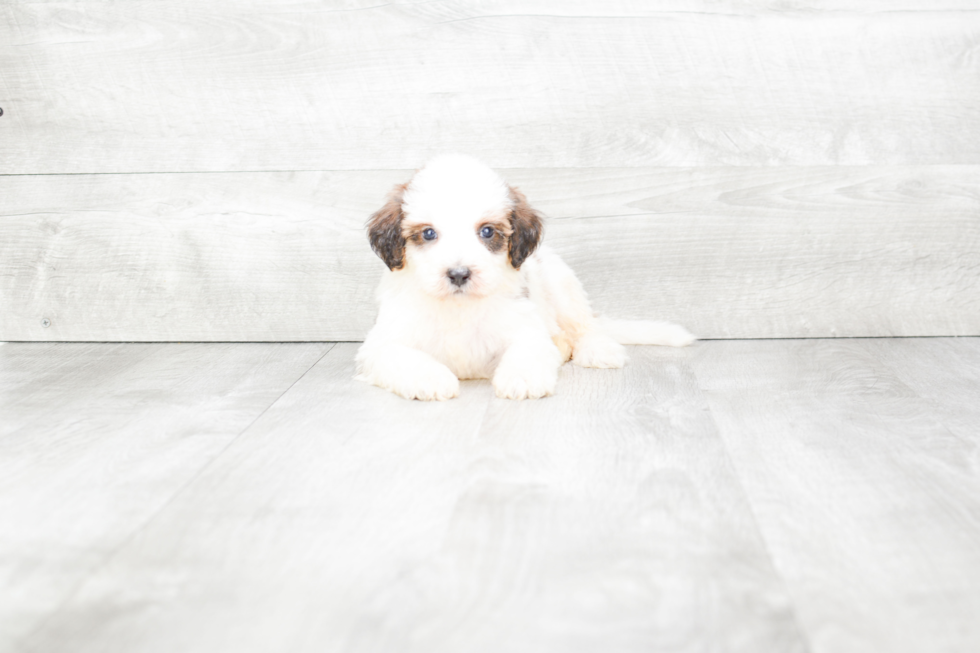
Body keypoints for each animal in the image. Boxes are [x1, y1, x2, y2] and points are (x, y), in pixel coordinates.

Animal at [356, 155, 692, 400]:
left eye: (487, 231)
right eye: (428, 233)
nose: (459, 274)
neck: (460, 307)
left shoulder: (524, 326)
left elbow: (527, 349)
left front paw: (522, 378)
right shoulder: (382, 342)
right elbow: (399, 354)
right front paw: (431, 378)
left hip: (562, 284)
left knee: (585, 325)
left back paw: (598, 349)